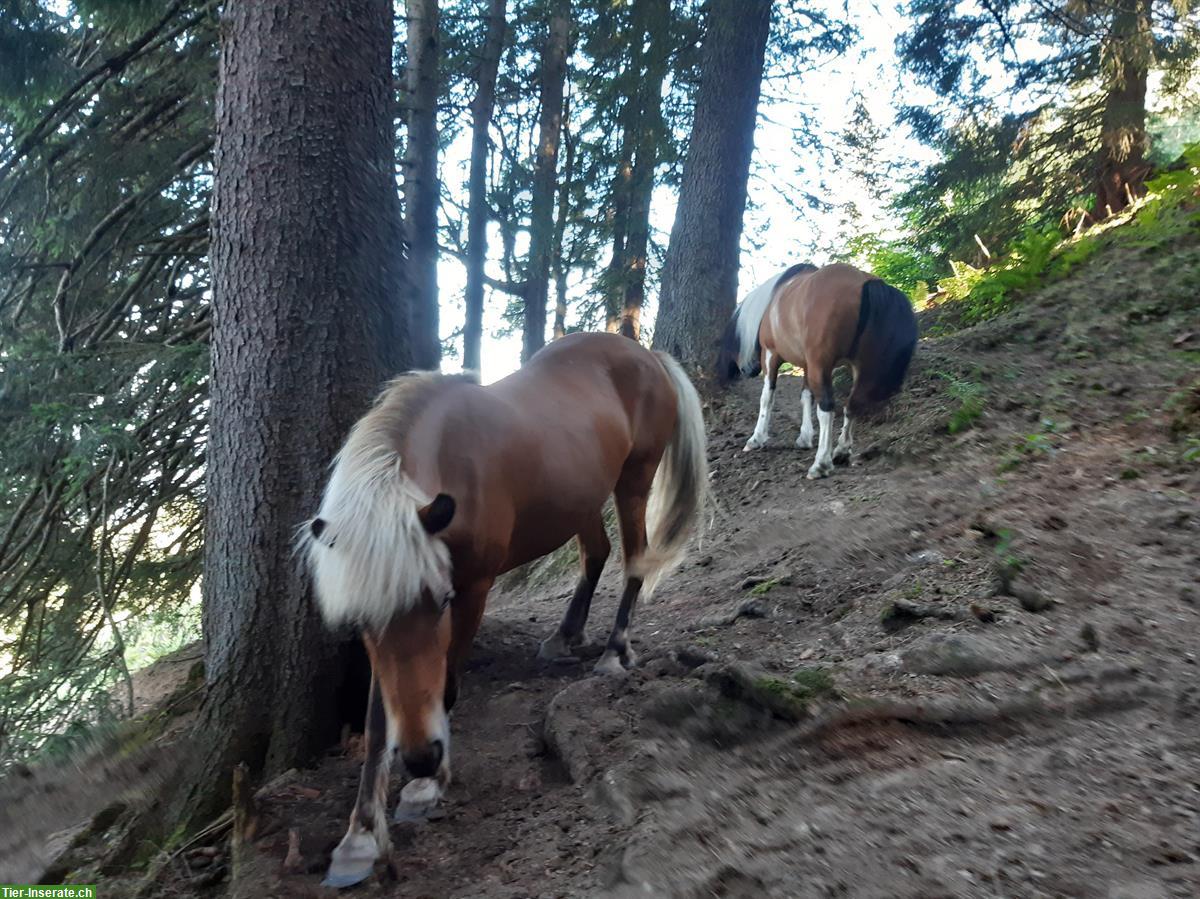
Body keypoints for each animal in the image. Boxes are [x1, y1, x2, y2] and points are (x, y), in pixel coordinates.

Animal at [298, 333, 705, 888]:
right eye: (361, 623)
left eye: (442, 601)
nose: (421, 757)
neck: (451, 459)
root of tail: (645, 354)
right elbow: (379, 722)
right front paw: (359, 837)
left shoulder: (473, 589)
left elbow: (447, 683)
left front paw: (427, 787)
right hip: (582, 496)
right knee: (595, 553)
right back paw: (565, 636)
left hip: (634, 481)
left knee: (634, 559)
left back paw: (614, 649)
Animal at [710, 262, 916, 480]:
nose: (746, 369)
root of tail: (864, 282)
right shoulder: (808, 365)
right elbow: (806, 397)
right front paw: (805, 437)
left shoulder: (771, 356)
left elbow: (767, 398)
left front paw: (756, 439)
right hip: (857, 367)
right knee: (853, 404)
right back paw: (841, 451)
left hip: (822, 365)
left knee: (827, 408)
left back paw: (821, 464)